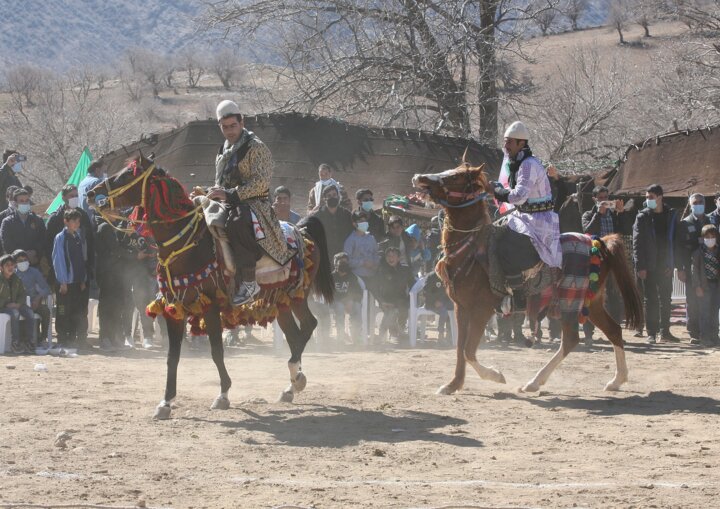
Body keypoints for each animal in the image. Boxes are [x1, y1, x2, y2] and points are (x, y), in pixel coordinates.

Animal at [89, 154, 334, 416]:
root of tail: (302, 230)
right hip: (281, 301)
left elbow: (216, 351)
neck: (186, 246)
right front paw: (165, 402)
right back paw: (292, 384)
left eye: (127, 174)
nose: (92, 194)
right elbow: (172, 356)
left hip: (297, 294)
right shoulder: (174, 308)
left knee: (309, 325)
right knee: (294, 335)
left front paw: (223, 394)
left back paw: (295, 377)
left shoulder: (210, 305)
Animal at [414, 163, 644, 392]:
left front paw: (496, 375)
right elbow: (460, 348)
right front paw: (453, 384)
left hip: (571, 301)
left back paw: (535, 382)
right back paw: (616, 379)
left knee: (571, 339)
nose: (419, 177)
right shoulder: (460, 307)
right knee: (613, 331)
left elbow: (468, 351)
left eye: (456, 177)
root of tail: (598, 243)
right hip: (591, 302)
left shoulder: (482, 308)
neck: (471, 249)